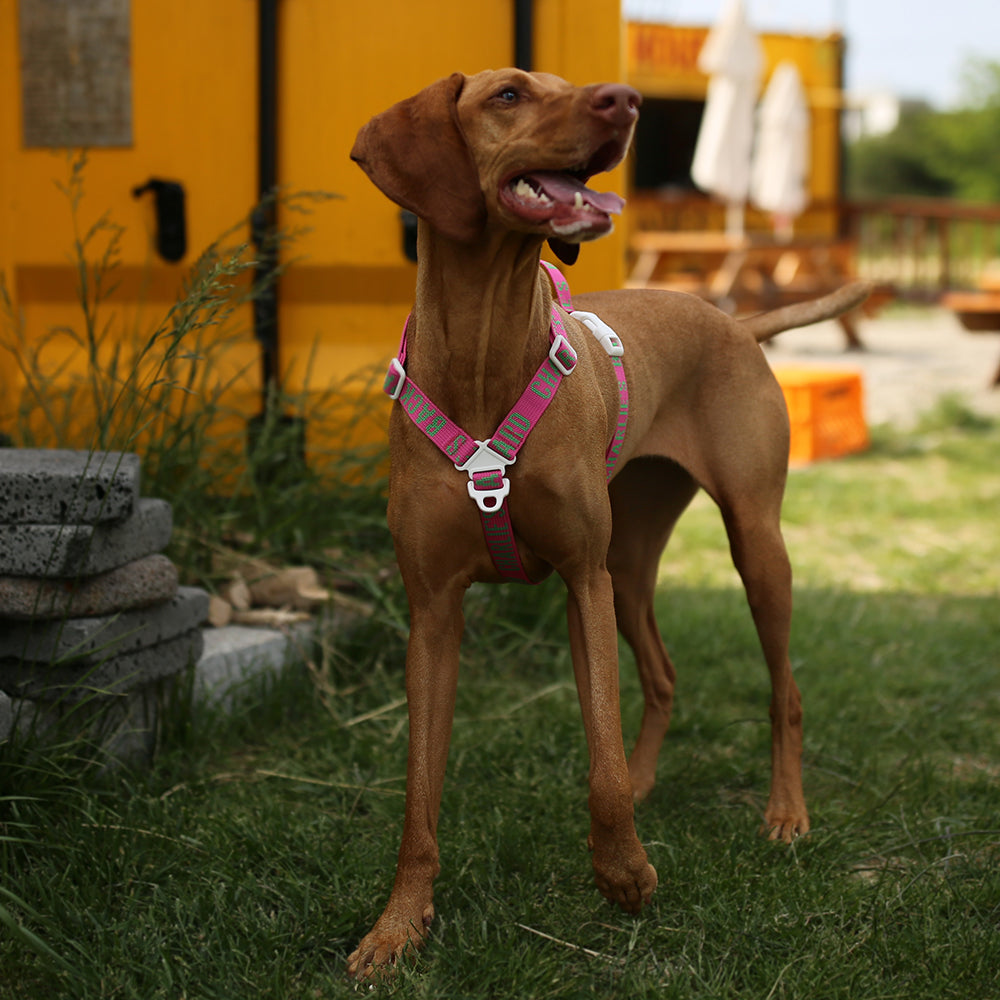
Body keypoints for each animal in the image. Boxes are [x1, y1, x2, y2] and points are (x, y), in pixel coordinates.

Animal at [348, 68, 872, 976]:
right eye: (508, 94)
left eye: (561, 85)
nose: (625, 100)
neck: (485, 350)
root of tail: (734, 319)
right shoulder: (434, 611)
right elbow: (418, 796)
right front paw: (398, 924)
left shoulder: (579, 582)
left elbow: (598, 765)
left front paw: (624, 873)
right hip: (629, 567)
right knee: (661, 676)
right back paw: (651, 775)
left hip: (753, 549)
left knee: (787, 692)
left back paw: (784, 812)